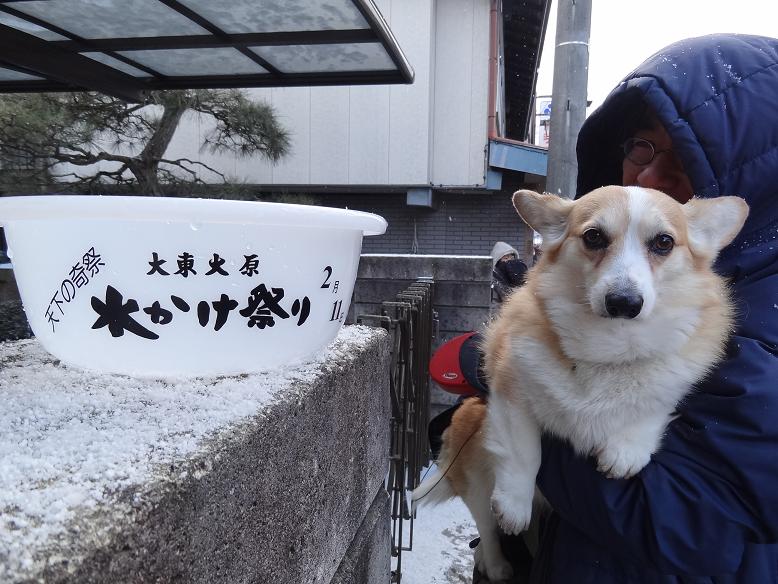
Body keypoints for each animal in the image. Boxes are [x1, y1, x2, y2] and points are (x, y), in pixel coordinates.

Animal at [412, 186, 744, 580]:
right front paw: (515, 504)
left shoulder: (672, 376)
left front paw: (627, 448)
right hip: (475, 471)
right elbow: (524, 450)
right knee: (487, 528)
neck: (608, 349)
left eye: (663, 242)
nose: (623, 302)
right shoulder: (510, 389)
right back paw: (496, 563)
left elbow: (655, 399)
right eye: (594, 236)